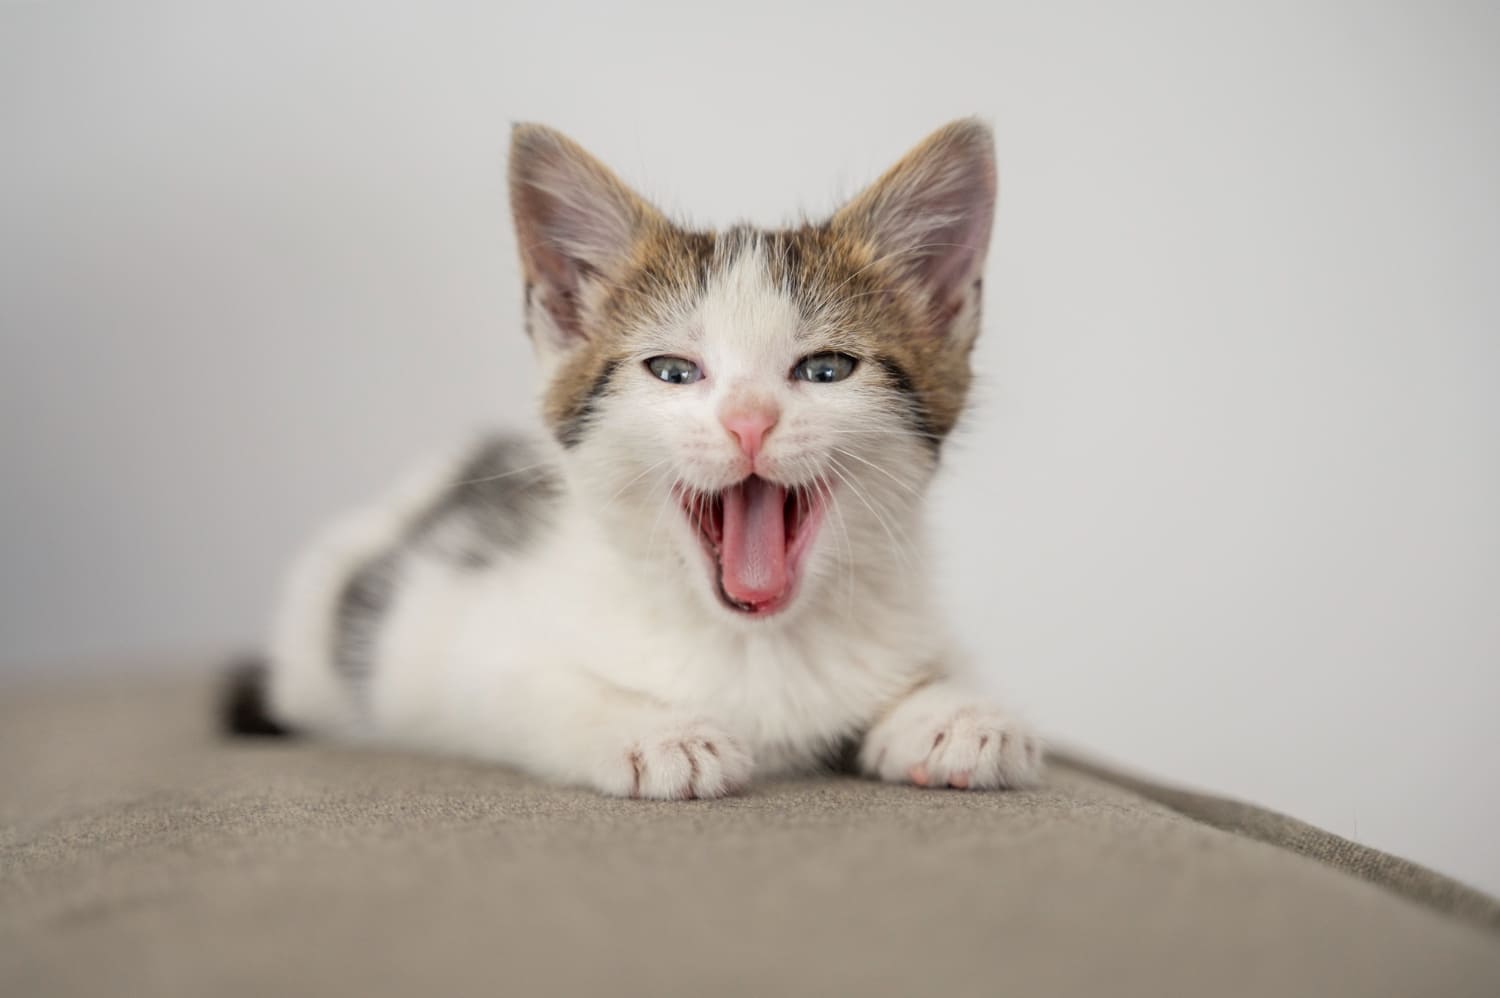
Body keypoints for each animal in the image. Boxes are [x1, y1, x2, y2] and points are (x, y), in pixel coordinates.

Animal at [231, 118, 1044, 804]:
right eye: (673, 371)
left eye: (826, 370)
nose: (749, 422)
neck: (758, 649)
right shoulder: (442, 639)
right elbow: (523, 684)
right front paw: (653, 731)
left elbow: (943, 662)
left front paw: (955, 713)